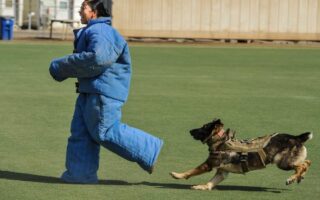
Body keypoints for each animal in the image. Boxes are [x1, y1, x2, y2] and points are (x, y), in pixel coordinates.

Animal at [170, 119, 312, 191]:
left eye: (203, 127)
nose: (190, 131)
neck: (221, 141)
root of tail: (296, 137)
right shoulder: (222, 172)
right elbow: (211, 182)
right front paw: (203, 187)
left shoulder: (208, 165)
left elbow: (191, 171)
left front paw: (178, 175)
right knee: (306, 163)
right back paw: (299, 177)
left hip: (282, 162)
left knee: (301, 165)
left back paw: (292, 178)